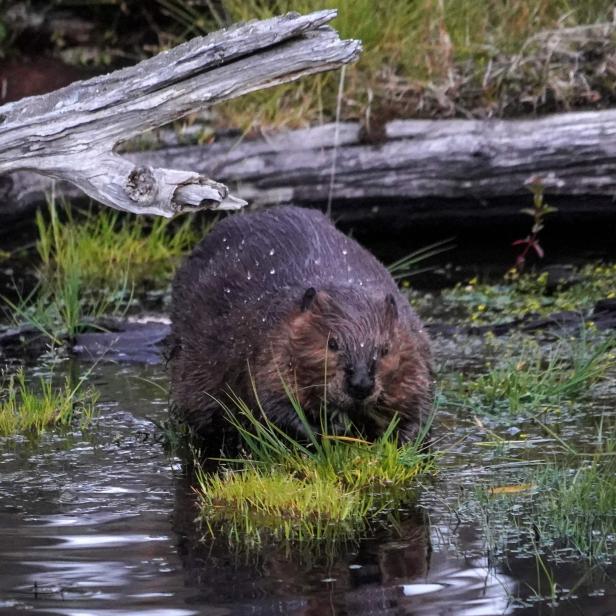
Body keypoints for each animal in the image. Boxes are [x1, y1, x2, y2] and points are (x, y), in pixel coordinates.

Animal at [170, 207, 434, 448]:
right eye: (332, 343)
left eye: (385, 349)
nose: (360, 384)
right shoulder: (269, 343)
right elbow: (269, 403)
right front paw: (328, 431)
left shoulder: (413, 347)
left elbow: (420, 407)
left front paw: (400, 440)